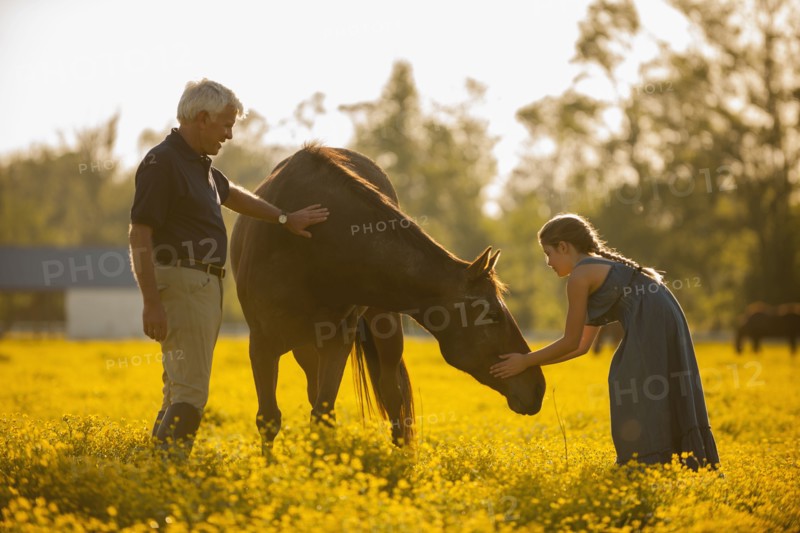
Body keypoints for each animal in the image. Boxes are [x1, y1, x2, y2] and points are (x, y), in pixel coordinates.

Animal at [230, 144, 546, 453]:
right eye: (492, 313)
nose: (538, 387)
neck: (313, 246)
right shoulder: (262, 344)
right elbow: (270, 418)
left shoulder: (336, 340)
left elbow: (323, 414)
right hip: (303, 347)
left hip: (384, 327)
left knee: (392, 395)